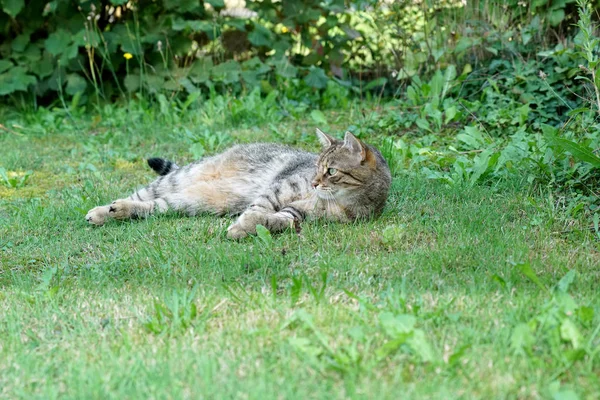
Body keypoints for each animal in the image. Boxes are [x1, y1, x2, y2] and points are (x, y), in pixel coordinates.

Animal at [85, 130, 394, 239]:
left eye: (330, 171)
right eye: (317, 168)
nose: (315, 181)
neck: (343, 198)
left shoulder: (300, 212)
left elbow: (278, 220)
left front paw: (253, 227)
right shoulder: (279, 189)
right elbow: (258, 209)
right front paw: (243, 226)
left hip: (192, 201)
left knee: (152, 206)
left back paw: (119, 211)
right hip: (182, 177)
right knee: (139, 194)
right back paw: (102, 211)